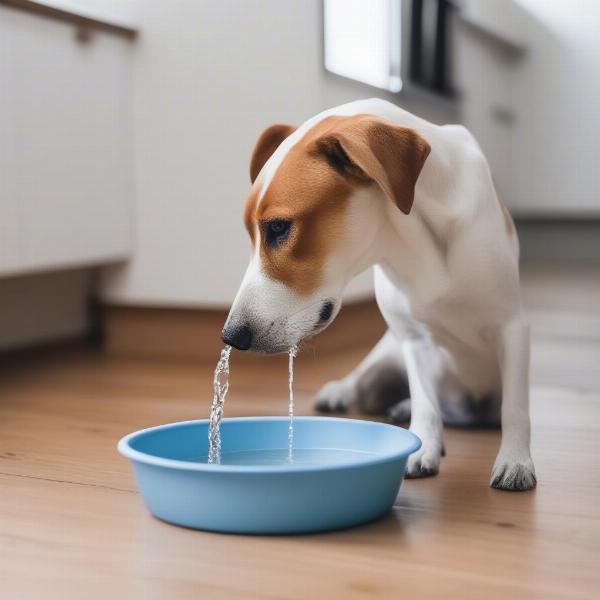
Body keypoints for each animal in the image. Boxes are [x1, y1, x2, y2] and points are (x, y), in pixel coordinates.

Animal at [223, 98, 536, 492]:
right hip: (386, 355)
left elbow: (515, 408)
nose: (230, 336)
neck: (413, 239)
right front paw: (423, 447)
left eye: (278, 228)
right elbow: (425, 402)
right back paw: (347, 393)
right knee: (373, 383)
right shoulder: (413, 339)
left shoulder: (511, 326)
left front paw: (515, 460)